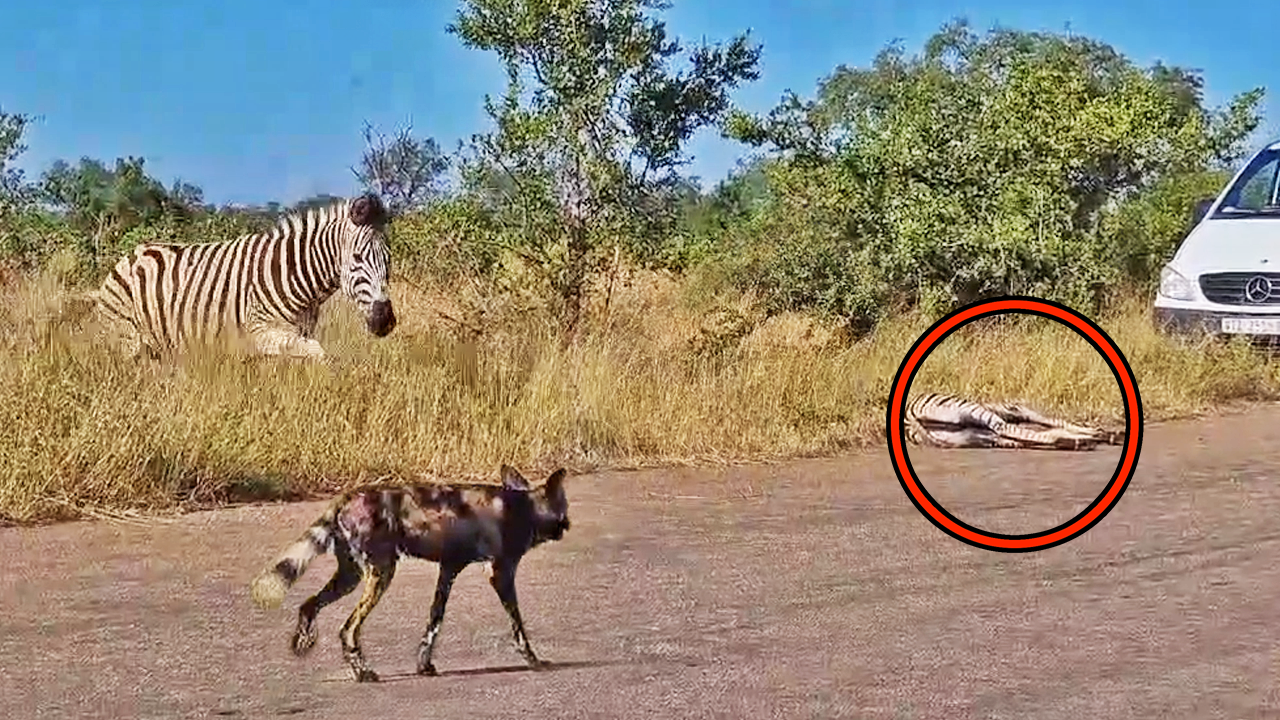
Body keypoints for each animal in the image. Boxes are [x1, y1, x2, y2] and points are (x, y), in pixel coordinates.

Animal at [62, 193, 397, 360]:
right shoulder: (260, 331)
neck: (296, 276)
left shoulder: (295, 333)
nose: (386, 321)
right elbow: (318, 354)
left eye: (389, 260)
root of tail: (130, 253)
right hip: (125, 337)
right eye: (357, 259)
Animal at [903, 392, 1125, 451]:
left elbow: (1052, 428)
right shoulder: (1019, 411)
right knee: (1006, 429)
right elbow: (1058, 422)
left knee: (1009, 437)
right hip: (976, 414)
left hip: (969, 436)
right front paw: (1102, 433)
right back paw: (1078, 442)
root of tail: (909, 416)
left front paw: (1105, 435)